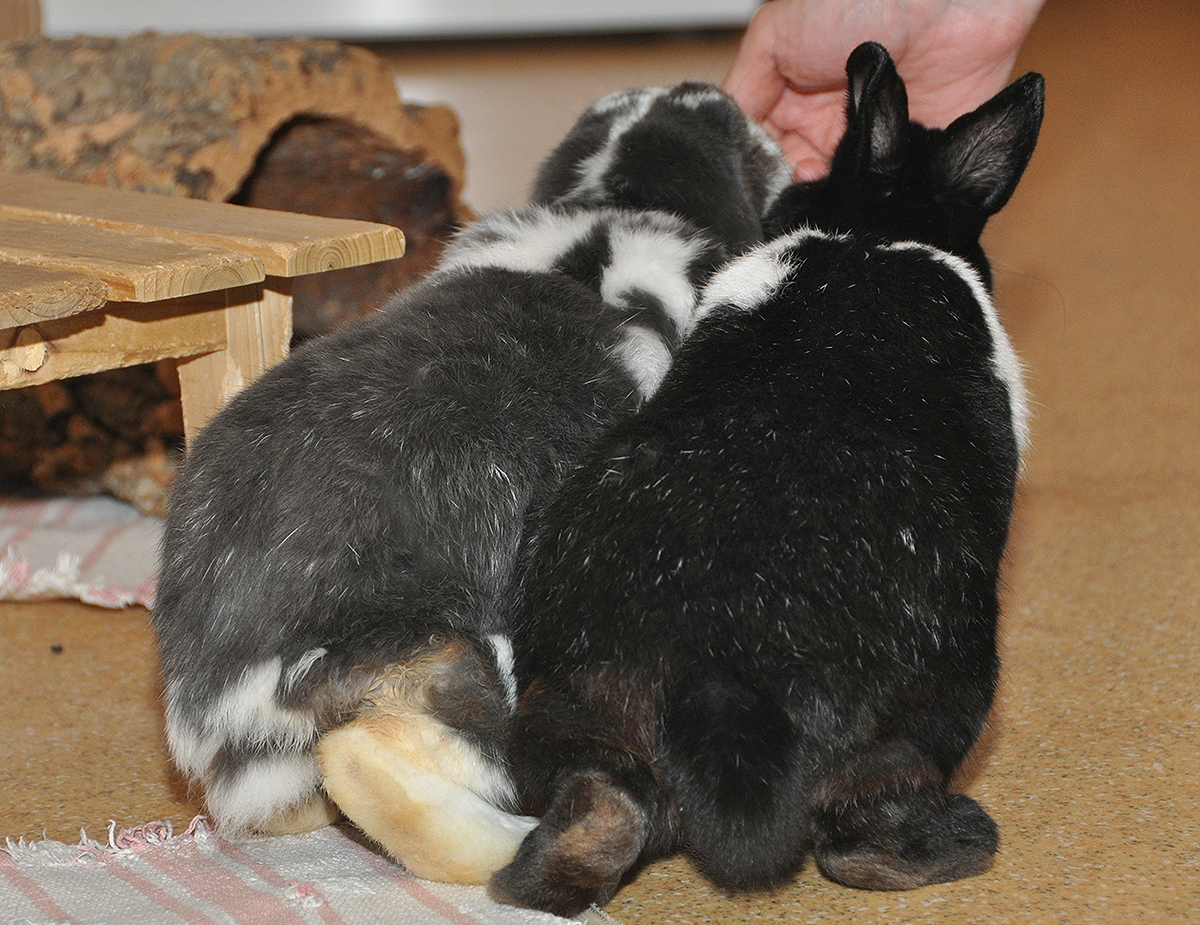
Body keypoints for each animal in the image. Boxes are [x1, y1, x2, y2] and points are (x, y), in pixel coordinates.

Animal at [487, 39, 1041, 916]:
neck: (877, 230)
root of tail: (720, 680)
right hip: (938, 703)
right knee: (859, 838)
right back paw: (965, 837)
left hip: (568, 710)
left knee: (602, 810)